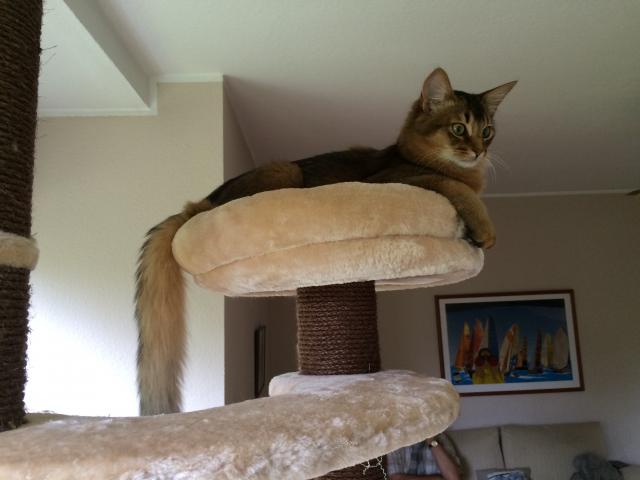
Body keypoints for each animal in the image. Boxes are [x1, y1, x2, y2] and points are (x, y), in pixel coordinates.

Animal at [135, 68, 516, 415]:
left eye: (487, 132)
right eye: (458, 128)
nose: (479, 152)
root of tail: (201, 203)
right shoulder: (396, 178)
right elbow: (455, 186)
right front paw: (485, 227)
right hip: (283, 170)